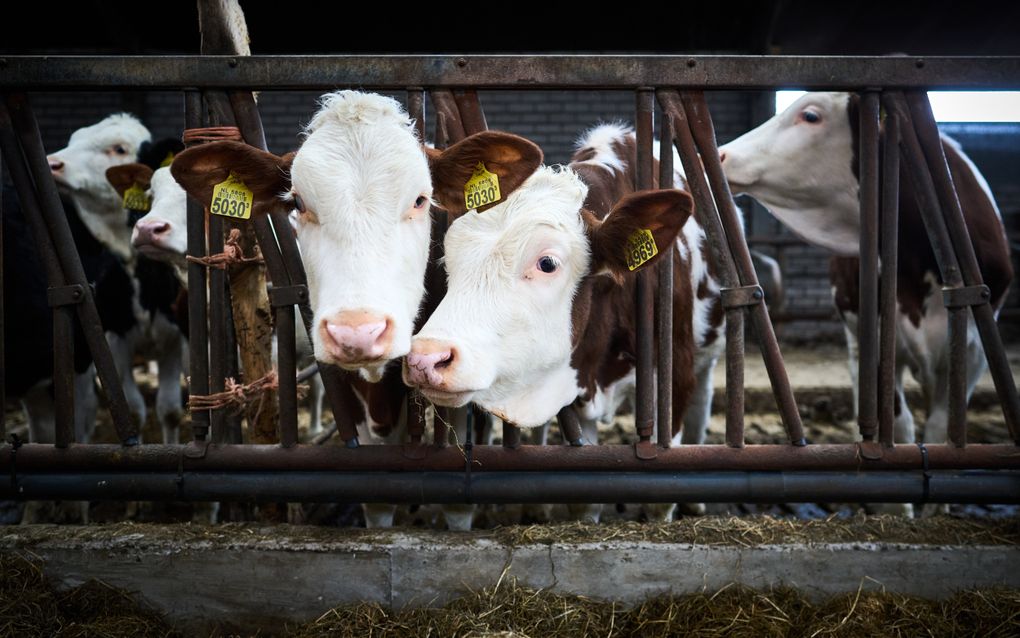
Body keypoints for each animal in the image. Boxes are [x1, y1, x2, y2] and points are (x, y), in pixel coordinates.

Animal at [401, 121, 722, 520]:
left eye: (547, 263)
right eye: (449, 257)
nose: (426, 358)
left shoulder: (674, 377)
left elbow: (661, 496)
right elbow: (584, 495)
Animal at [718, 90, 1011, 453]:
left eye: (811, 116)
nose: (721, 154)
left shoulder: (972, 352)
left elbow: (940, 428)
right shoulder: (877, 339)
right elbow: (899, 423)